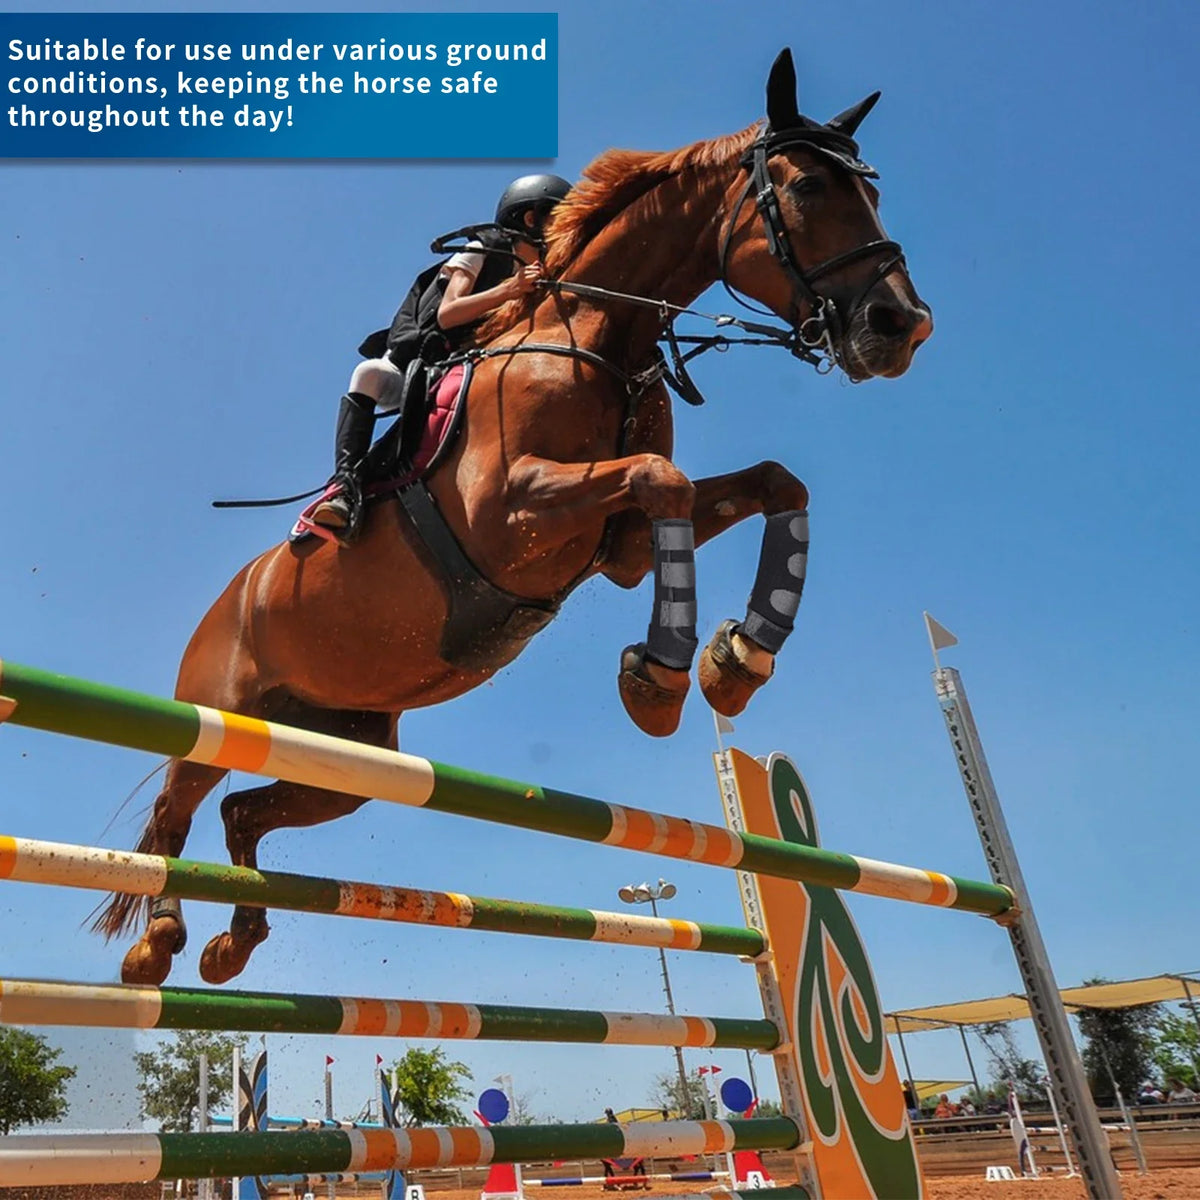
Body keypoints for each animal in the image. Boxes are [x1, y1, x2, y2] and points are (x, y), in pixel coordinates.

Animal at [97, 49, 932, 986]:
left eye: (868, 190)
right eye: (806, 188)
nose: (902, 325)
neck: (600, 336)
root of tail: (226, 601)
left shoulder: (621, 547)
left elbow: (772, 485)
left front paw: (736, 662)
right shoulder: (512, 511)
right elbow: (666, 479)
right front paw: (661, 680)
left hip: (347, 755)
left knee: (242, 811)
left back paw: (233, 941)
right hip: (221, 711)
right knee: (179, 807)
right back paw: (158, 942)